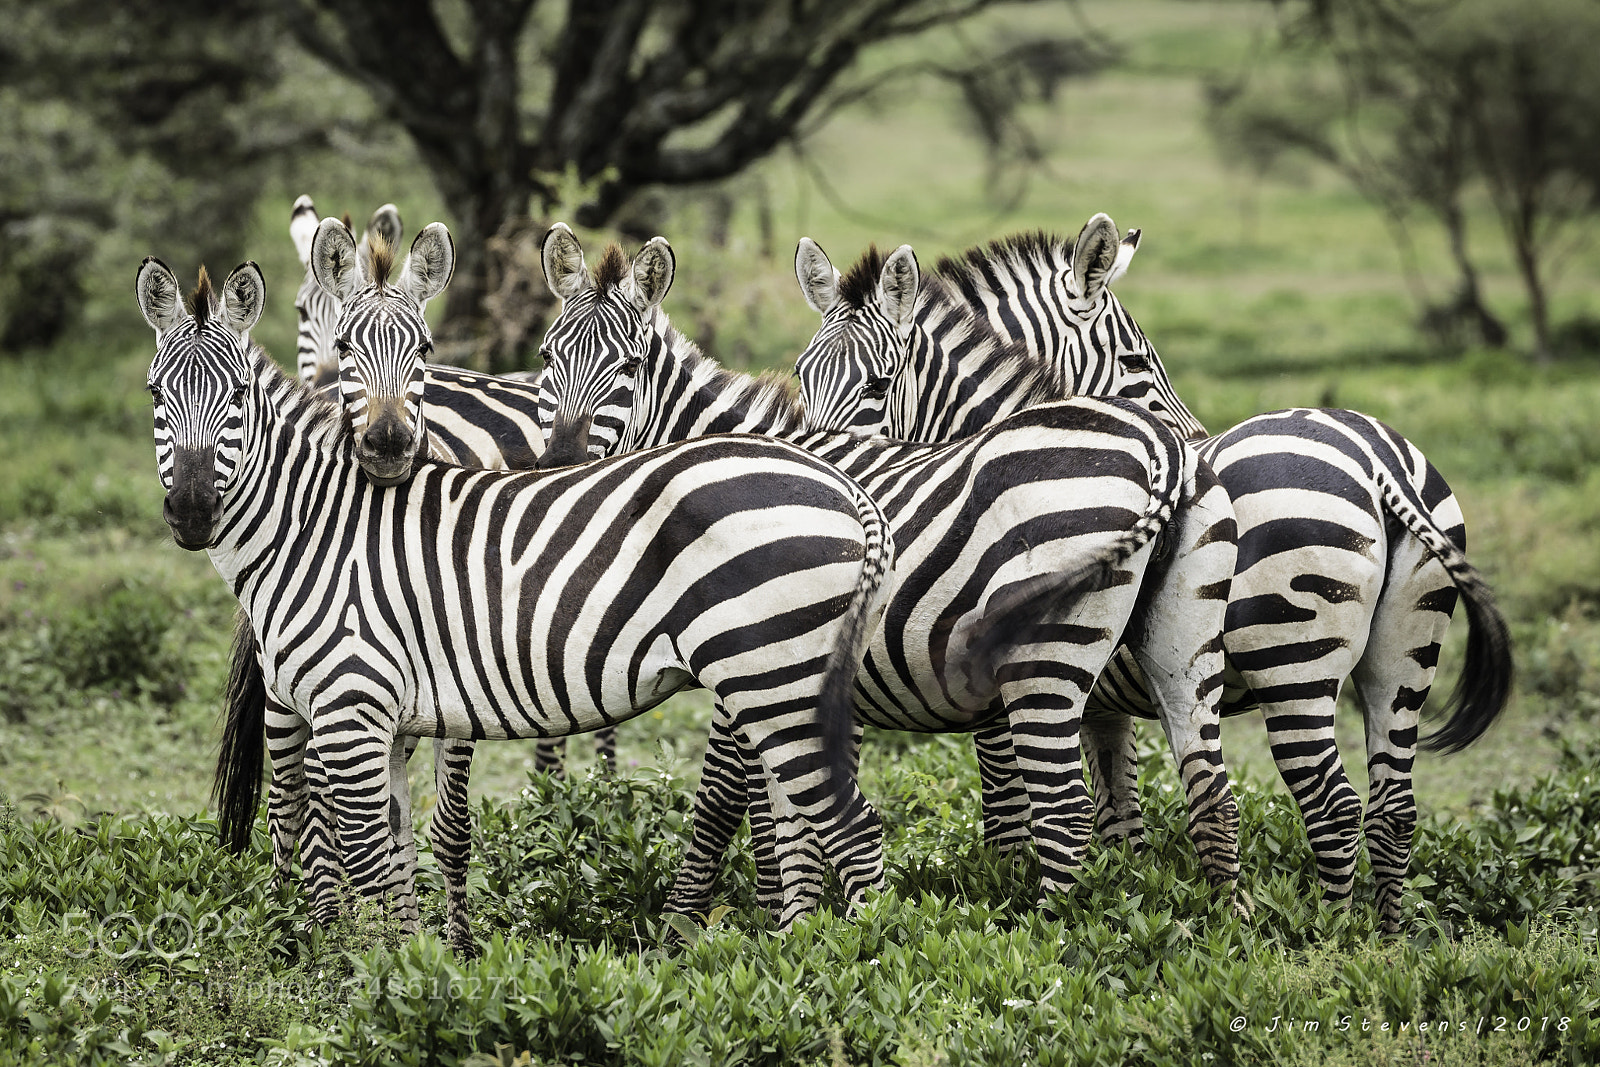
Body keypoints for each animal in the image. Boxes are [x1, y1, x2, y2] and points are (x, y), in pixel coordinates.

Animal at [137, 258, 901, 934]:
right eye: (153, 395)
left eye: (238, 394)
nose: (193, 511)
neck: (315, 523)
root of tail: (847, 488)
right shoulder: (382, 717)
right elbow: (392, 860)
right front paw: (411, 964)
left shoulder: (351, 706)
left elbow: (366, 857)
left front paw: (367, 975)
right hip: (786, 684)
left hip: (773, 678)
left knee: (853, 829)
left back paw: (853, 964)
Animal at [527, 224, 1241, 915]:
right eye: (545, 360)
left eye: (629, 367)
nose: (558, 466)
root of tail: (1161, 452)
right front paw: (795, 919)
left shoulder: (752, 668)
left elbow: (734, 796)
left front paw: (710, 921)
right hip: (1179, 653)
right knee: (1212, 793)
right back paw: (1218, 927)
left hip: (1049, 657)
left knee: (1068, 809)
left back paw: (1048, 932)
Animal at [797, 217, 1513, 932]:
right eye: (802, 377)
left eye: (878, 387)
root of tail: (1377, 458)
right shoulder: (1100, 704)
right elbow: (1119, 815)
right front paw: (1129, 901)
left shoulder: (1004, 682)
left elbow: (1012, 809)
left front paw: (1014, 892)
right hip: (1404, 651)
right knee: (1393, 808)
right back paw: (1383, 939)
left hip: (1292, 655)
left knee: (1332, 804)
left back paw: (1328, 937)